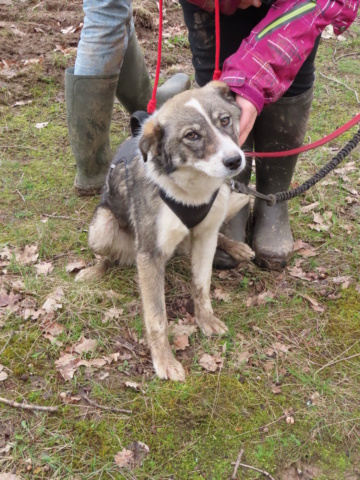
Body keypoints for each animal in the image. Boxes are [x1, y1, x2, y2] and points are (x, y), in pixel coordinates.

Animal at [77, 82, 255, 382]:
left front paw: (206, 321)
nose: (235, 160)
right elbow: (157, 318)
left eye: (224, 120)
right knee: (110, 256)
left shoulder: (205, 236)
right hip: (102, 228)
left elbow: (202, 286)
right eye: (191, 135)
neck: (192, 189)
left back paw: (236, 247)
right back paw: (94, 270)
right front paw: (164, 361)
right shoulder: (150, 254)